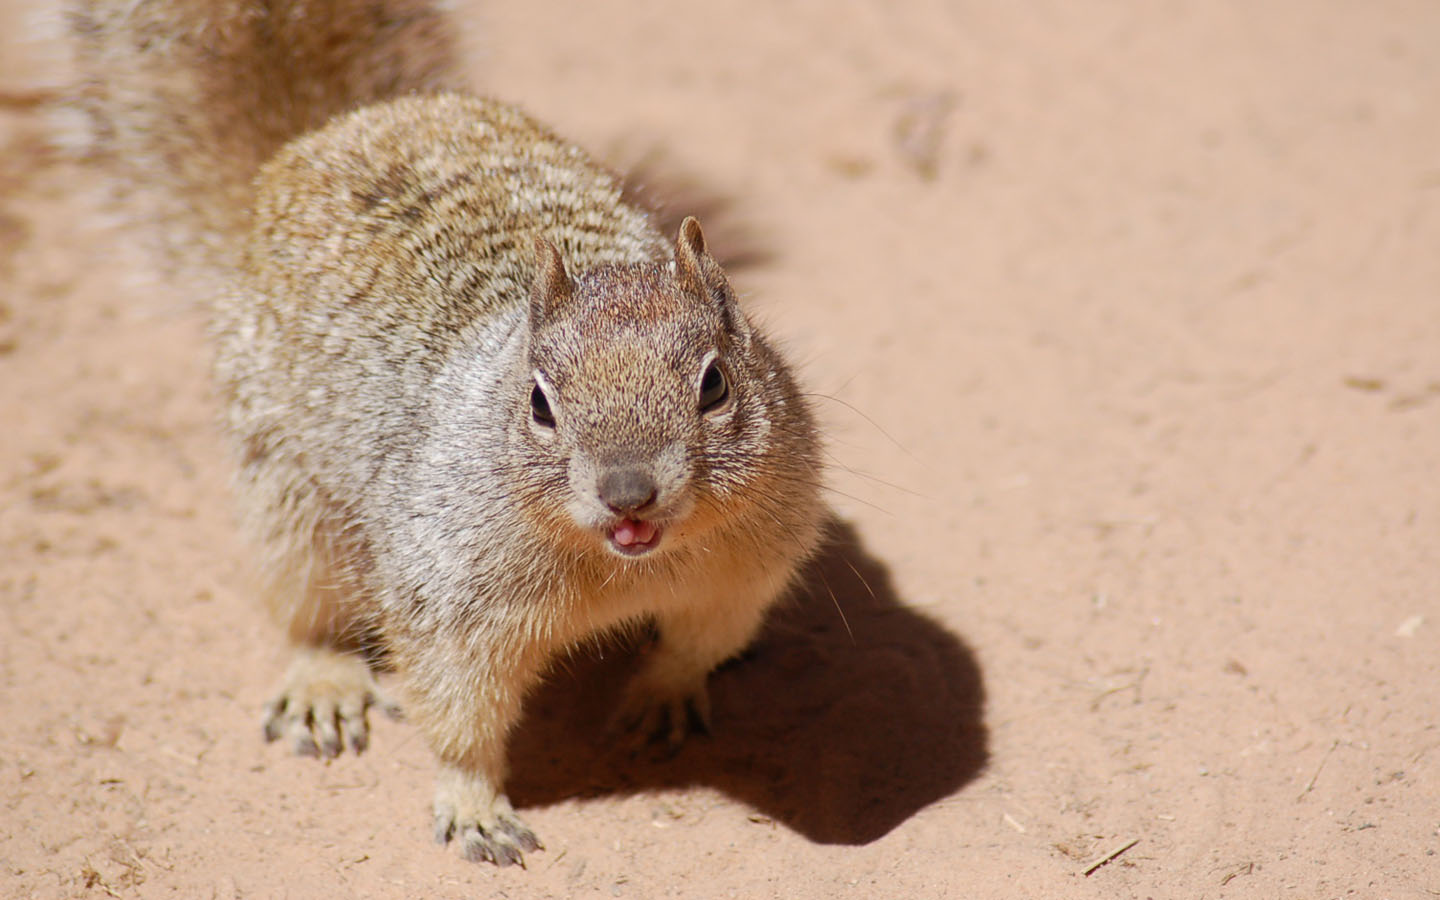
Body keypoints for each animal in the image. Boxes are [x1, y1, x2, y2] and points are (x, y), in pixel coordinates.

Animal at [73, 0, 829, 864]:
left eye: (715, 384)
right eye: (539, 403)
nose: (627, 491)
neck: (625, 568)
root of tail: (335, 130)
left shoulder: (747, 571)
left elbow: (696, 644)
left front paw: (663, 695)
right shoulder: (448, 602)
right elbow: (459, 717)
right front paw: (474, 807)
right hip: (286, 504)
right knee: (306, 611)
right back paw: (323, 684)